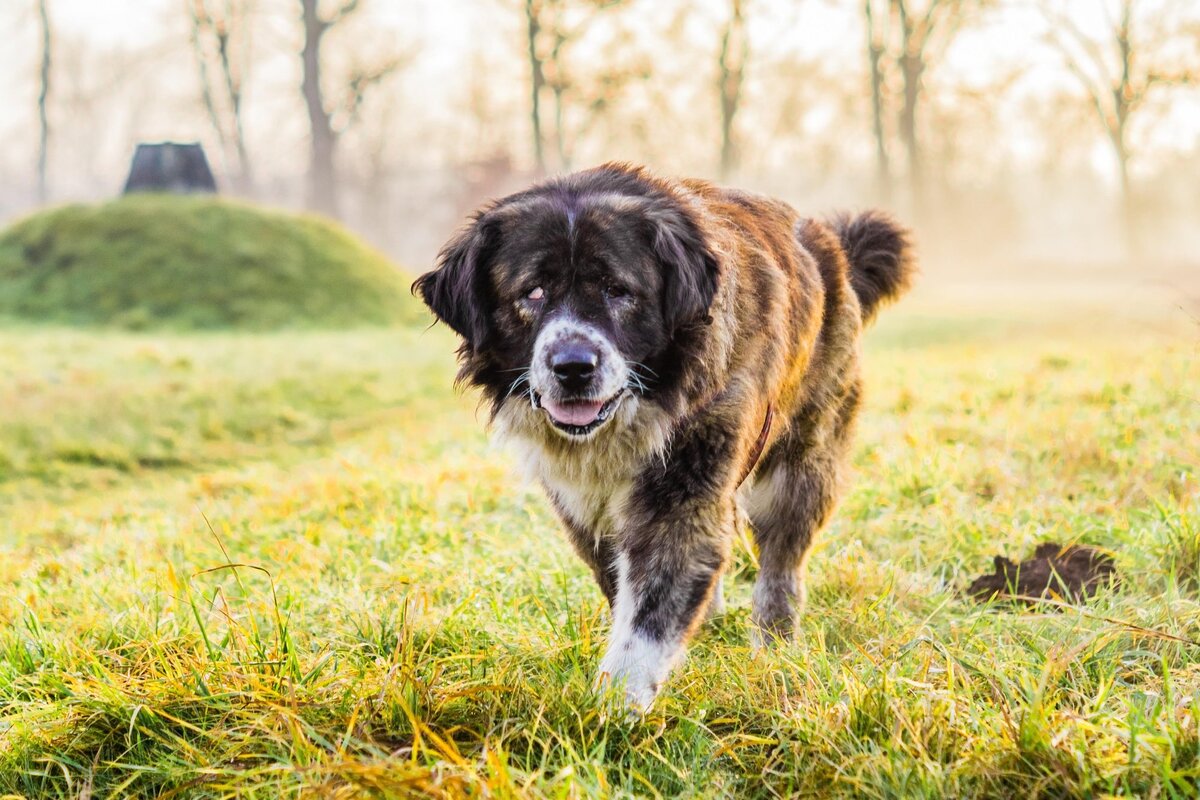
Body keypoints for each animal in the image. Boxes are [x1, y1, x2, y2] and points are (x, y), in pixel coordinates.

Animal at [417, 160, 912, 705]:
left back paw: (774, 646)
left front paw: (613, 708)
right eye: (533, 292)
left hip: (800, 462)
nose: (573, 367)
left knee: (781, 562)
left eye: (617, 290)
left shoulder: (683, 486)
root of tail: (834, 248)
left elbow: (648, 613)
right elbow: (627, 590)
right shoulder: (585, 510)